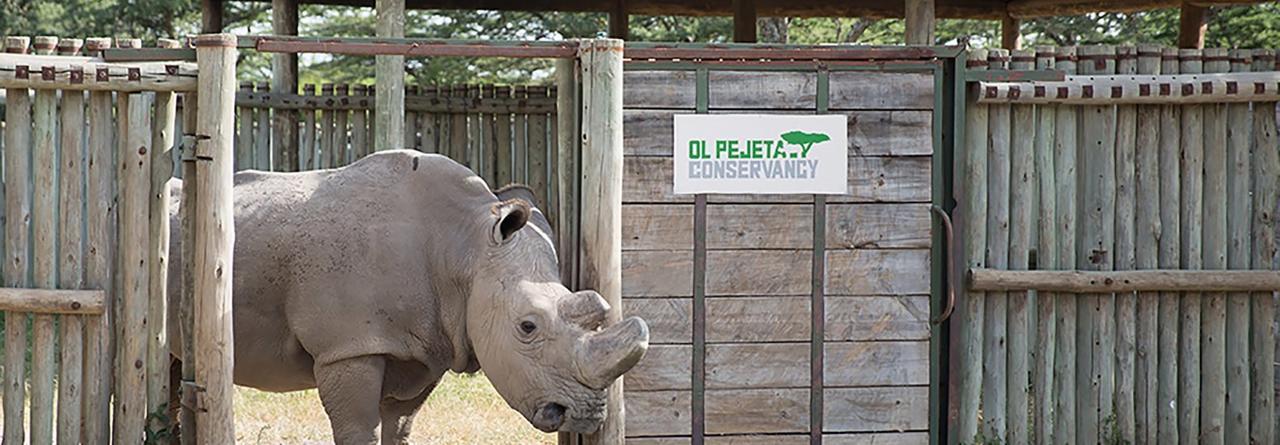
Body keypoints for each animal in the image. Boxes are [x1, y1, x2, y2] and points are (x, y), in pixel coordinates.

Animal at [167, 150, 650, 445]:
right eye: (527, 326)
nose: (584, 414)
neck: (464, 247)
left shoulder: (428, 347)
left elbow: (399, 426)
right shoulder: (348, 347)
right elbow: (358, 430)